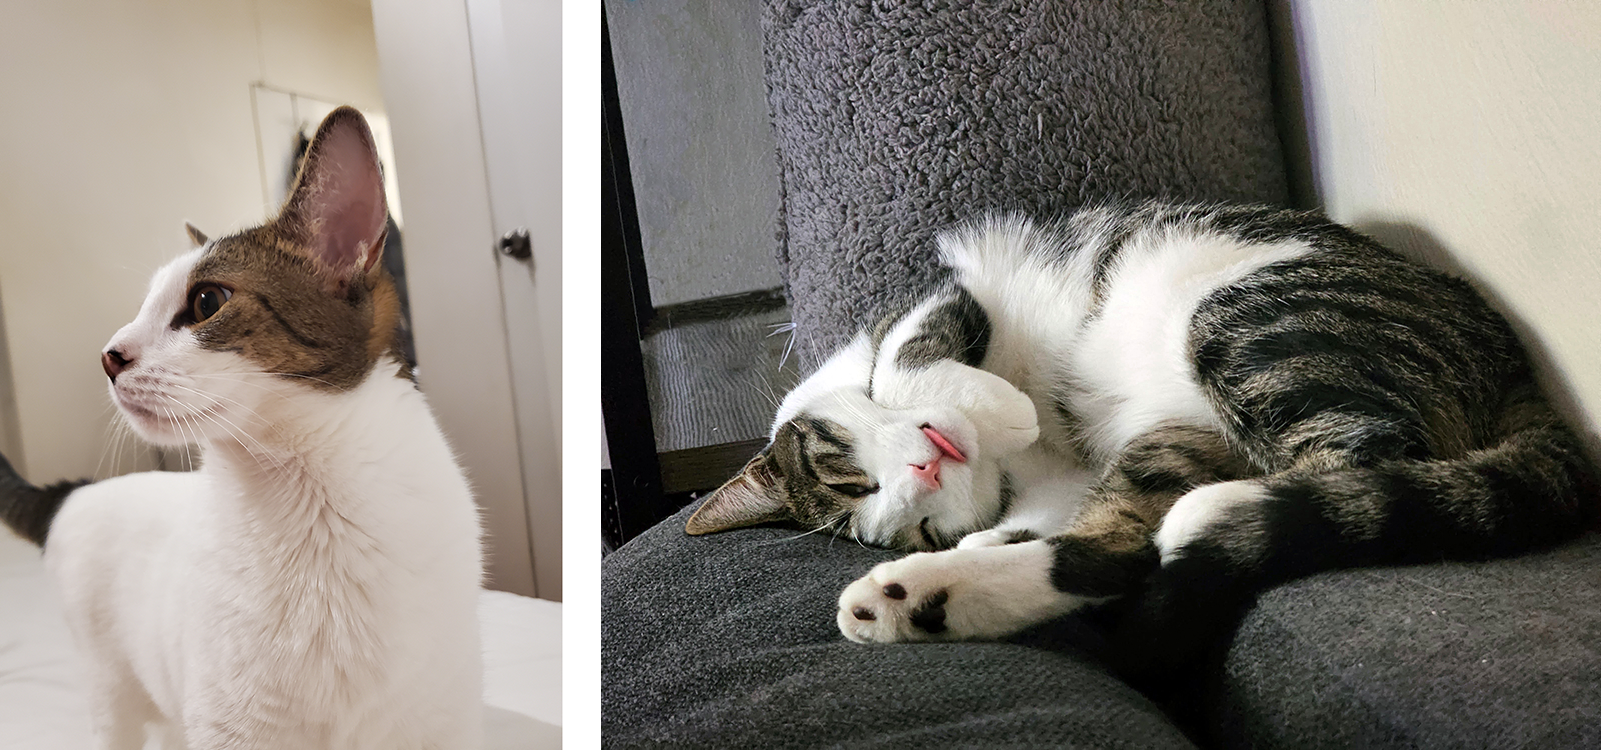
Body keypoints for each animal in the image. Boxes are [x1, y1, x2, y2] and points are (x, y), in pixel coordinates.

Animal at [3, 106, 483, 750]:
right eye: (143, 307)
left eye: (207, 301)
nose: (107, 356)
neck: (317, 513)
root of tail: (78, 491)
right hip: (113, 696)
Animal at [691, 201, 1601, 663]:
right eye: (909, 522)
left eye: (848, 470)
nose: (924, 472)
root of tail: (1513, 364)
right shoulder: (1056, 481)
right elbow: (1059, 519)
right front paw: (978, 538)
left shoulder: (931, 300)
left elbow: (911, 358)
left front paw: (988, 403)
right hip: (1178, 431)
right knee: (1125, 548)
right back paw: (920, 601)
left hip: (1250, 317)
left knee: (1365, 453)